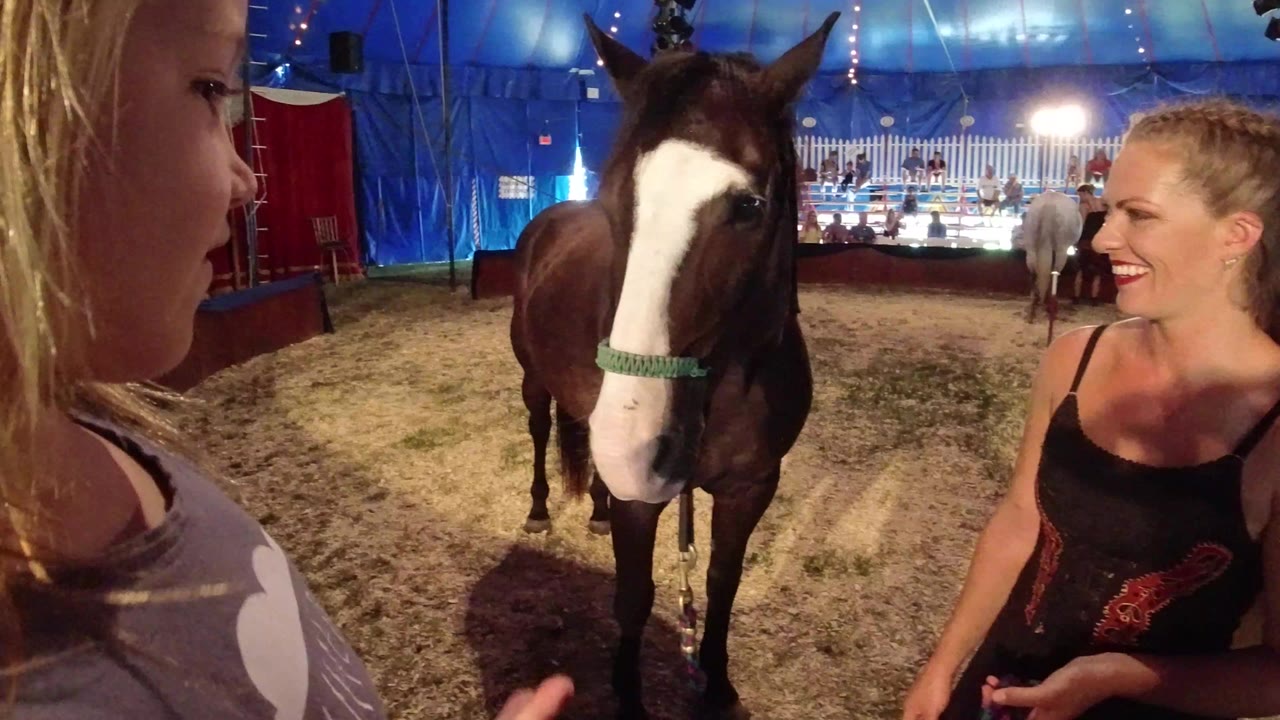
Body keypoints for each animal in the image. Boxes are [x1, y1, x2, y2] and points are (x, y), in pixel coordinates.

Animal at [508, 12, 839, 719]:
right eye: (617, 201)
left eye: (749, 207)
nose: (631, 442)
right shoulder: (644, 500)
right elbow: (634, 597)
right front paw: (628, 695)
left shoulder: (752, 486)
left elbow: (722, 583)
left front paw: (716, 686)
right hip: (533, 382)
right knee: (542, 430)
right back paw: (542, 510)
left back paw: (597, 507)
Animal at [1022, 190, 1083, 324]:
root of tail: (1049, 204)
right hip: (1061, 251)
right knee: (1054, 272)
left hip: (1031, 249)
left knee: (1034, 274)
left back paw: (1032, 311)